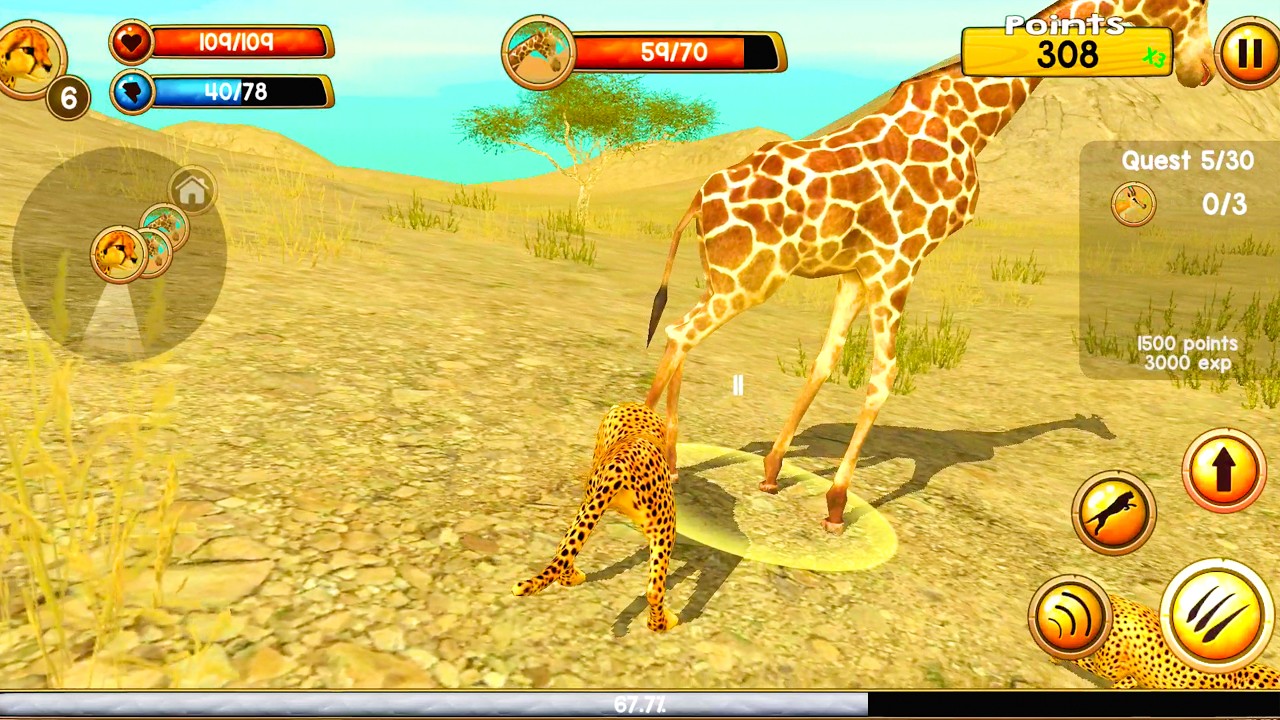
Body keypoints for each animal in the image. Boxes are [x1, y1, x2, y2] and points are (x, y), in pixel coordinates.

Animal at [513, 402, 679, 632]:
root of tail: (621, 465)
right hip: (665, 527)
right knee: (654, 589)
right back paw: (662, 624)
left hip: (590, 505)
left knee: (563, 548)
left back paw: (571, 578)